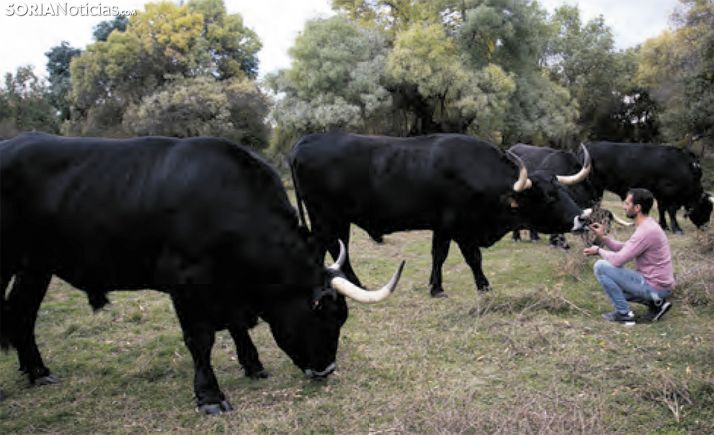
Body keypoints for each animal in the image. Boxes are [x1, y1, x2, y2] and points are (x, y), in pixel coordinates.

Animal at [0, 132, 404, 414]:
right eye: (325, 316)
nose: (326, 370)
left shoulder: (227, 288)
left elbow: (237, 327)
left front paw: (253, 364)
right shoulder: (186, 285)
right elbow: (201, 340)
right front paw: (210, 396)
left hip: (35, 266)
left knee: (21, 312)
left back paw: (37, 371)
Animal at [289, 132, 592, 298]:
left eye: (563, 191)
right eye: (549, 196)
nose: (583, 218)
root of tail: (305, 140)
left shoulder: (443, 227)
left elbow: (442, 255)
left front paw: (438, 285)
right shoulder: (457, 227)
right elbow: (466, 257)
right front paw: (477, 286)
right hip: (328, 217)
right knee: (333, 247)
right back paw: (354, 284)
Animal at [584, 141, 713, 234]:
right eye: (707, 209)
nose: (706, 226)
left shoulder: (660, 194)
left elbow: (662, 209)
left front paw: (664, 226)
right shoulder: (670, 193)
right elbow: (671, 211)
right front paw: (677, 228)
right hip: (594, 188)